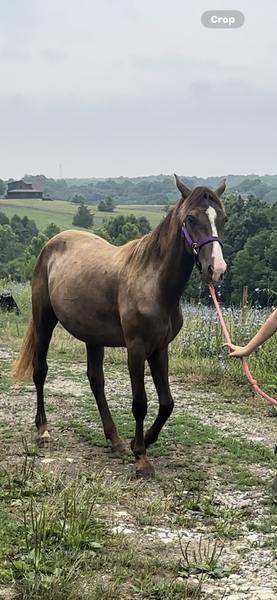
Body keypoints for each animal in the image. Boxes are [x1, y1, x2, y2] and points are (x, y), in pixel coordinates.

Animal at [13, 175, 226, 478]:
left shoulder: (160, 350)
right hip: (45, 322)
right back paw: (43, 431)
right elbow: (140, 403)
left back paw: (114, 439)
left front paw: (145, 439)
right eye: (191, 219)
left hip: (92, 336)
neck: (153, 283)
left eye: (224, 219)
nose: (216, 270)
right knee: (40, 371)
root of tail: (50, 245)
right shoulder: (136, 350)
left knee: (96, 380)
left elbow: (167, 403)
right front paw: (142, 457)